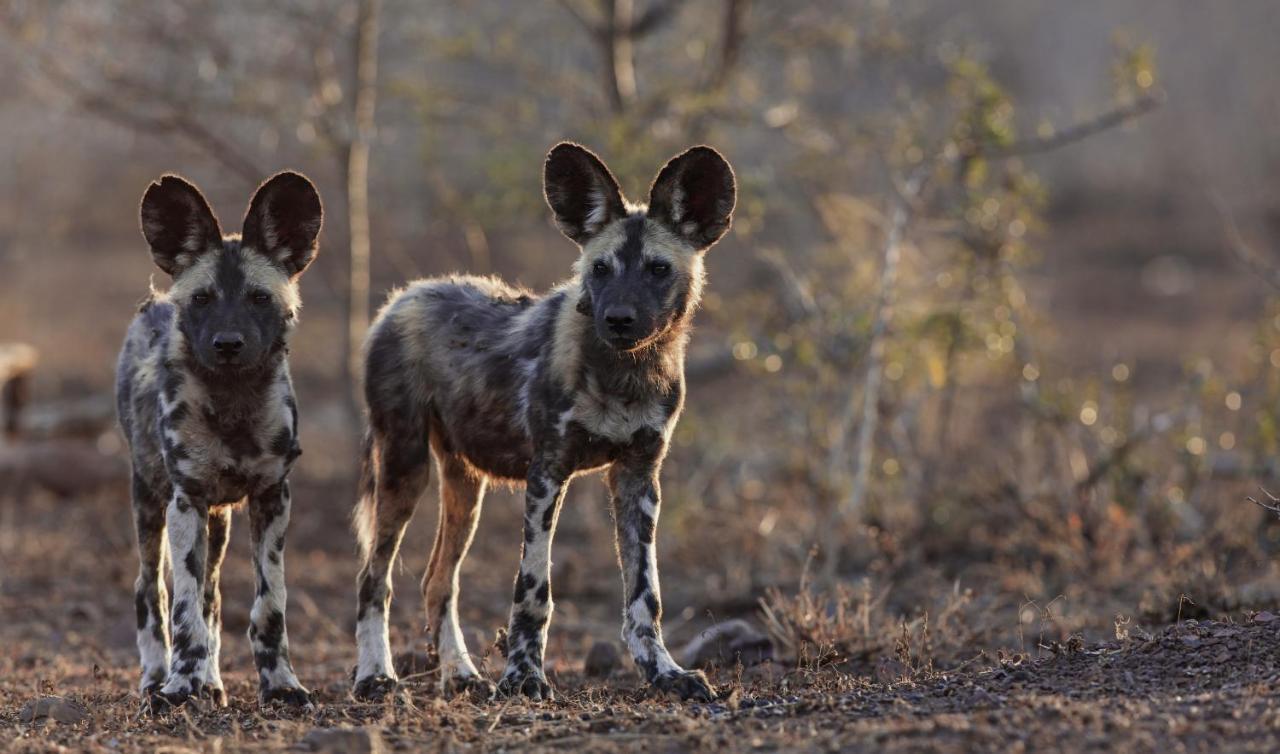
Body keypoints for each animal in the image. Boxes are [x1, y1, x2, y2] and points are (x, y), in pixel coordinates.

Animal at [116, 171, 320, 711]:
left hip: (219, 520)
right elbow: (183, 610)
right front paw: (179, 689)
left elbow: (269, 606)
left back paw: (212, 682)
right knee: (151, 591)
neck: (233, 404)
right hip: (151, 505)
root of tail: (153, 303)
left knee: (212, 597)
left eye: (259, 298)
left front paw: (281, 685)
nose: (227, 344)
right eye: (202, 300)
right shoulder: (186, 502)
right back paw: (157, 679)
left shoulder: (271, 498)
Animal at [350, 145, 737, 701]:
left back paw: (460, 673)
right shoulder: (548, 473)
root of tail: (401, 297)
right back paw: (376, 675)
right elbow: (533, 590)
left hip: (465, 485)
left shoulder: (638, 478)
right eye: (601, 269)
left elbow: (645, 596)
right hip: (404, 468)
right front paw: (523, 677)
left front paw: (664, 673)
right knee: (372, 579)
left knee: (438, 580)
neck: (625, 374)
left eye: (658, 269)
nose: (618, 319)